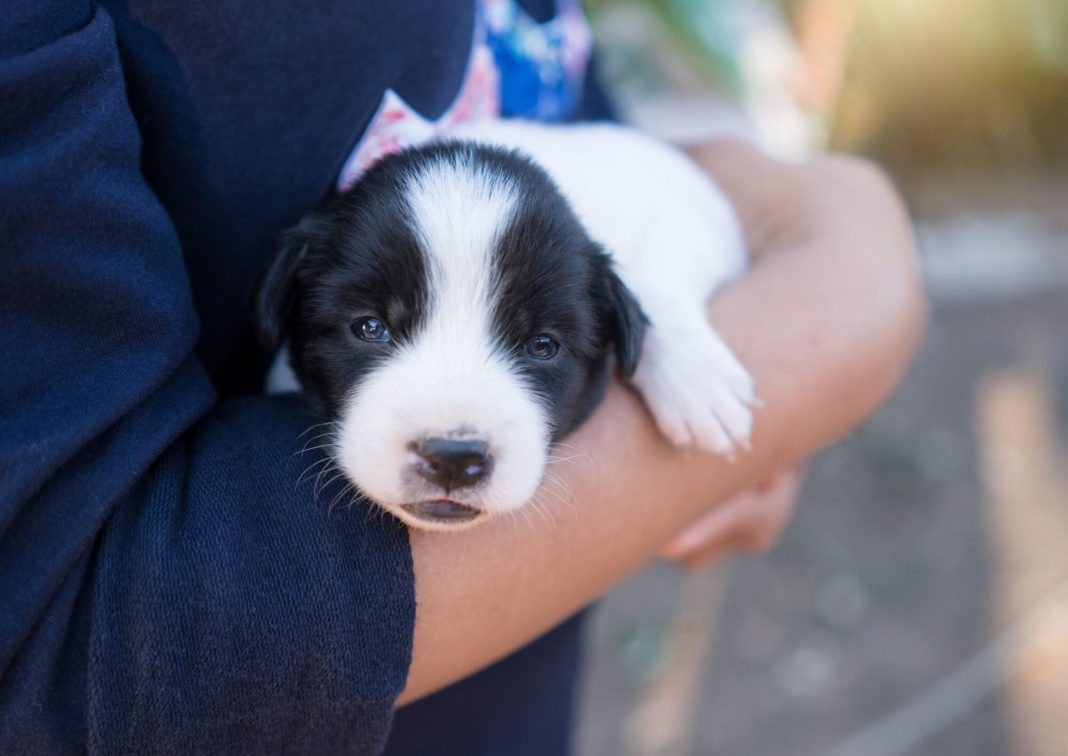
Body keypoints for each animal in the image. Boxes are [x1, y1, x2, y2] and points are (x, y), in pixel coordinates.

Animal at [254, 119, 756, 531]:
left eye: (543, 345)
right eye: (369, 328)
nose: (453, 458)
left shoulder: (686, 220)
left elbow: (661, 266)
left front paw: (698, 381)